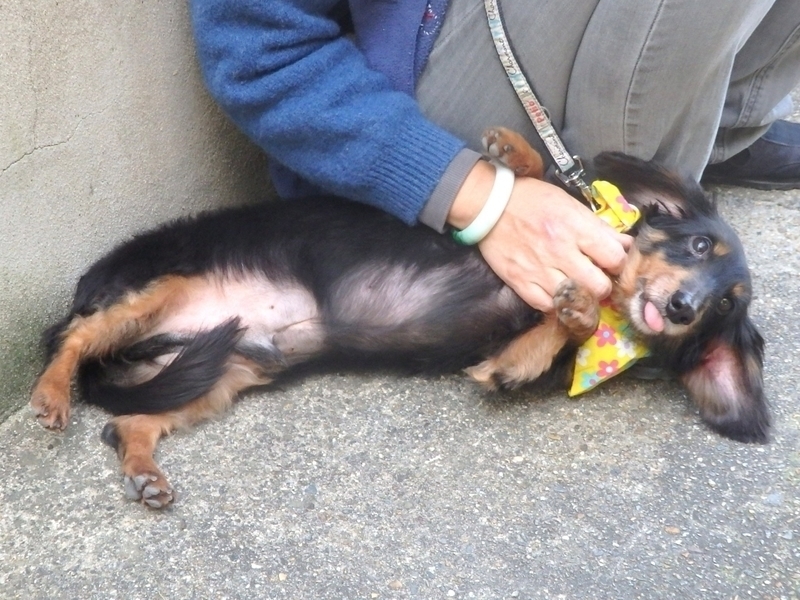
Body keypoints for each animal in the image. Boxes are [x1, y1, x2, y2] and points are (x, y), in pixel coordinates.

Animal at [30, 128, 769, 508]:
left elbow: (554, 335)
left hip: (224, 370)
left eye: (724, 306)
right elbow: (538, 186)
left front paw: (558, 325)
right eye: (699, 247)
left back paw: (143, 471)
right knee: (73, 337)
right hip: (161, 288)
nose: (682, 308)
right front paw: (513, 151)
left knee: (129, 421)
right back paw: (49, 395)